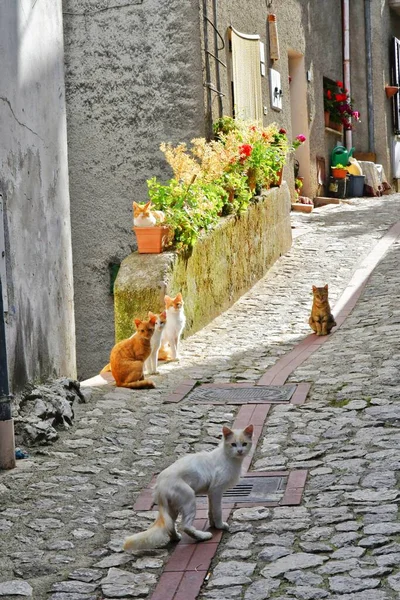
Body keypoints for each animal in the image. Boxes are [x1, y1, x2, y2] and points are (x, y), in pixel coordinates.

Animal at [123, 424, 253, 552]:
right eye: (233, 444)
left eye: (244, 444)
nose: (240, 451)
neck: (229, 458)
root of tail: (160, 486)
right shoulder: (216, 490)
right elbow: (218, 511)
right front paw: (219, 526)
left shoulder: (211, 493)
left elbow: (211, 510)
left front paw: (213, 524)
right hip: (189, 498)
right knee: (184, 526)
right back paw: (203, 536)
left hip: (172, 507)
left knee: (170, 527)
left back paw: (176, 538)